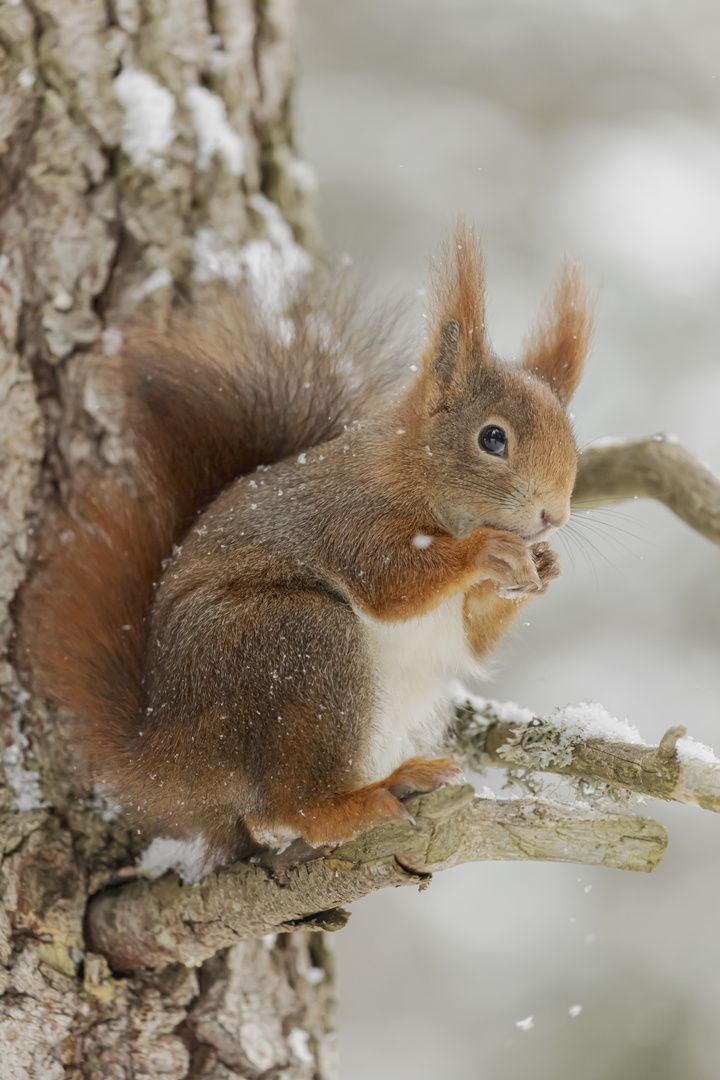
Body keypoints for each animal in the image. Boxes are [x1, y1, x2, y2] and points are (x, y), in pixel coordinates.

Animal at [19, 225, 595, 876]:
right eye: (492, 439)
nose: (554, 517)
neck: (409, 472)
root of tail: (170, 762)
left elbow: (474, 636)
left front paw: (543, 567)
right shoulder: (350, 521)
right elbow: (390, 583)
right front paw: (487, 550)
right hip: (298, 646)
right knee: (295, 807)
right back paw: (365, 800)